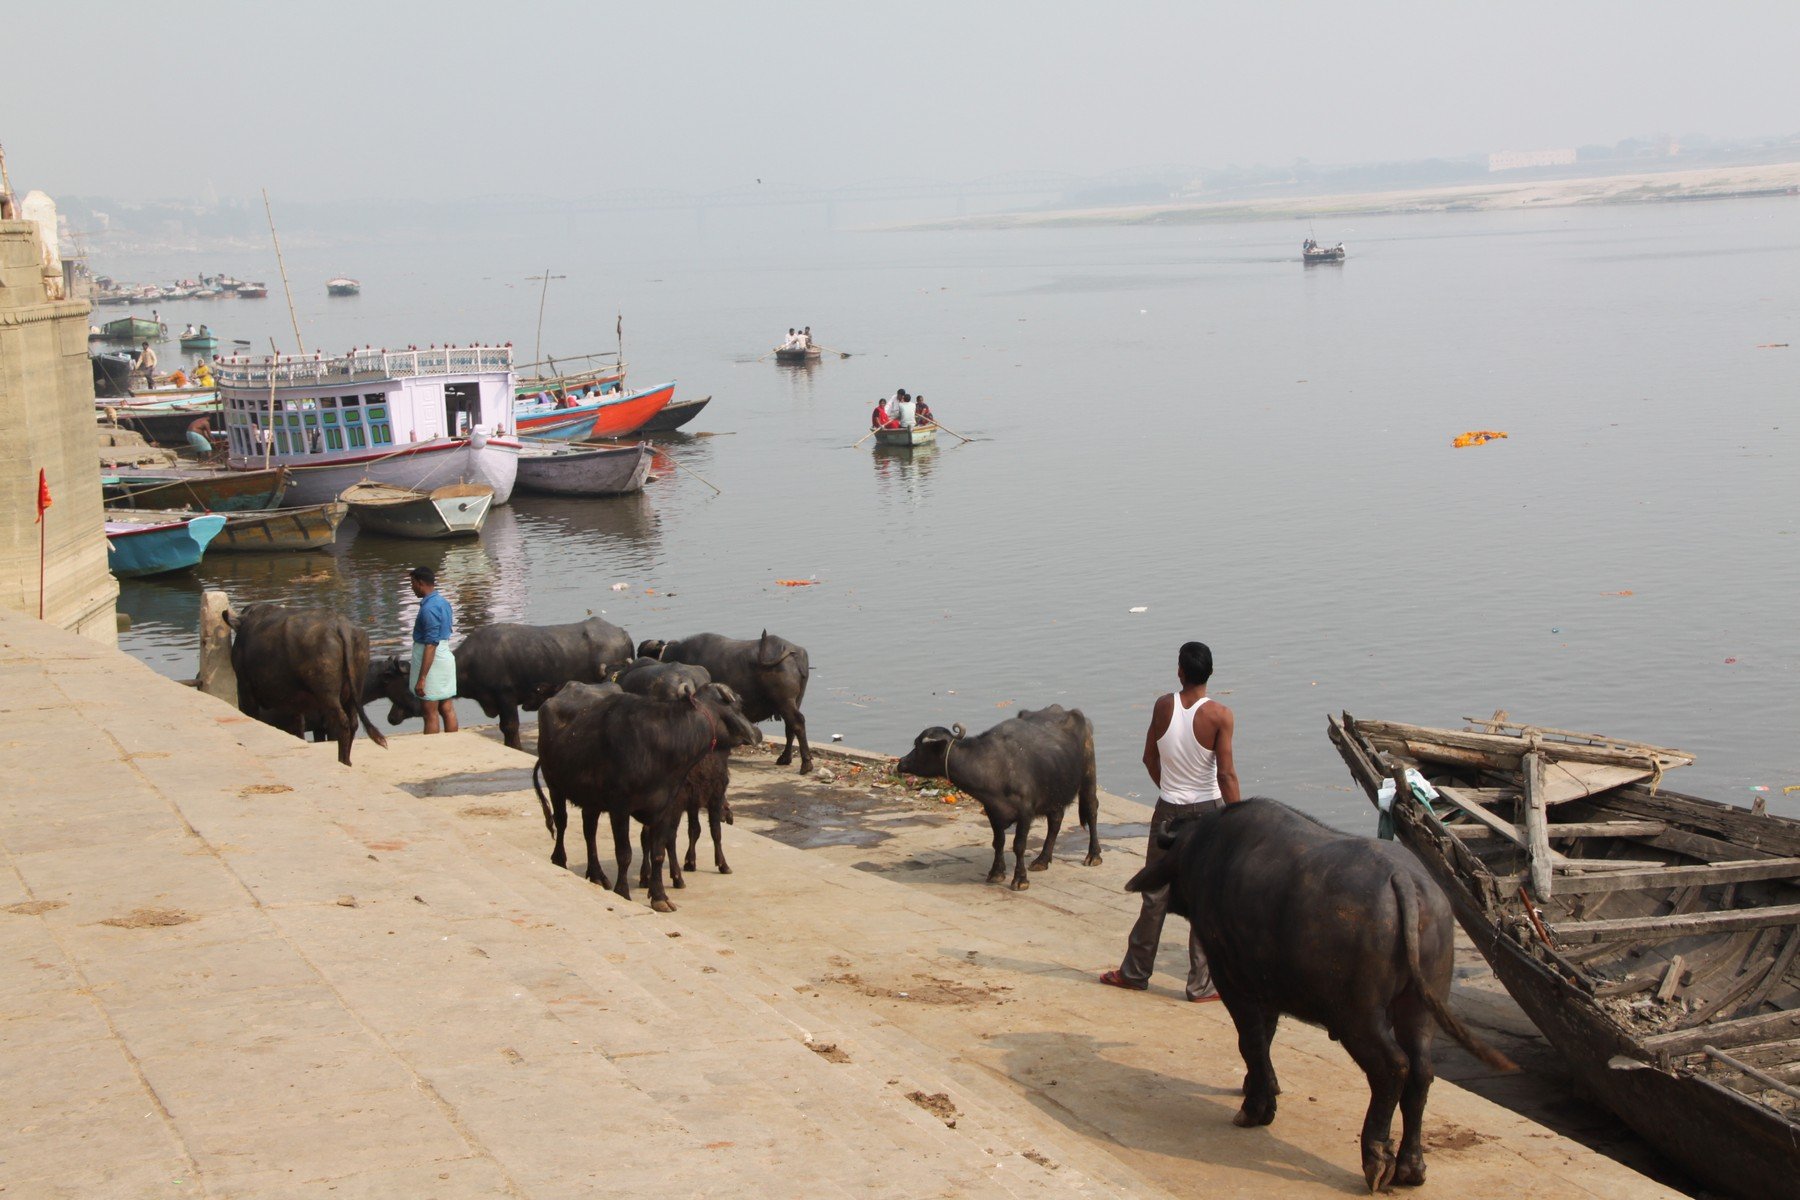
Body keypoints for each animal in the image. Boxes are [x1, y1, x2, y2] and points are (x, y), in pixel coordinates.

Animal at [225, 604, 390, 766]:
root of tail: (341, 625)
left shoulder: (245, 689)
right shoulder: (294, 704)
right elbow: (299, 727)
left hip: (328, 694)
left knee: (342, 723)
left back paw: (342, 761)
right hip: (354, 690)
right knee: (353, 722)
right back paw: (348, 761)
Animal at [630, 633, 806, 773]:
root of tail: (794, 653)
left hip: (785, 702)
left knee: (796, 723)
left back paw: (805, 765)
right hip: (794, 701)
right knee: (791, 727)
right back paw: (785, 759)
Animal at [896, 705, 1094, 892]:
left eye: (917, 746)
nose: (901, 762)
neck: (995, 768)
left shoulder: (1025, 813)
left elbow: (1019, 845)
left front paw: (1020, 880)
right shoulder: (992, 810)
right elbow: (998, 842)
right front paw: (996, 873)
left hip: (1088, 776)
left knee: (1091, 812)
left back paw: (1093, 856)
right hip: (1055, 793)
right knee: (1055, 822)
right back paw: (1042, 860)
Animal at [1130, 798, 1512, 1194]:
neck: (1208, 851)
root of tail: (1404, 879)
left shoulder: (1233, 980)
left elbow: (1250, 1041)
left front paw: (1255, 1108)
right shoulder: (1268, 990)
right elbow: (1264, 1040)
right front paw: (1262, 1087)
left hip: (1357, 1014)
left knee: (1393, 1067)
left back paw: (1377, 1159)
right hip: (1421, 1006)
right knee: (1421, 1070)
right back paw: (1411, 1166)